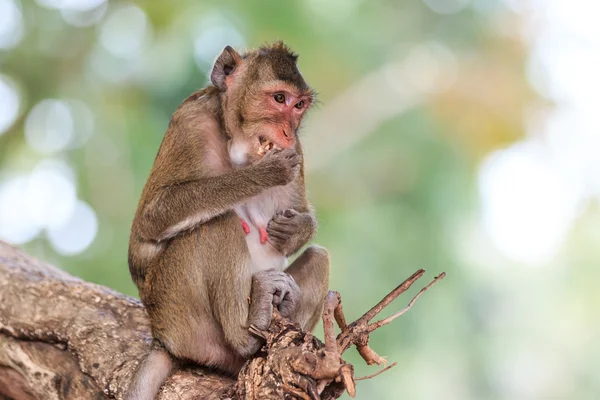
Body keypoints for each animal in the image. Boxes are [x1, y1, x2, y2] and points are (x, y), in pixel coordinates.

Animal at [125, 42, 330, 398]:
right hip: (182, 317)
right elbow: (150, 223)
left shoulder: (298, 150)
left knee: (319, 256)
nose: (287, 131)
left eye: (299, 105)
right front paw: (264, 174)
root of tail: (163, 339)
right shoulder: (189, 122)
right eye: (279, 98)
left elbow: (298, 214)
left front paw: (295, 229)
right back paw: (247, 332)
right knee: (218, 223)